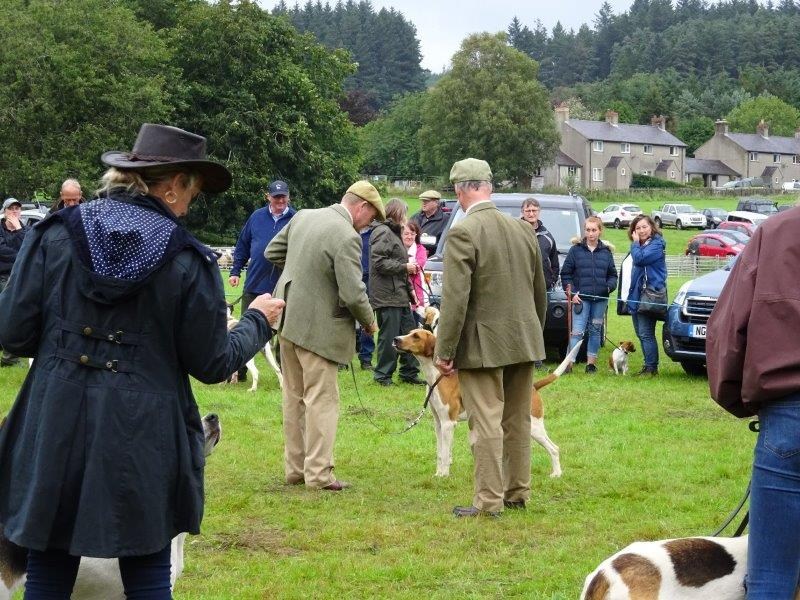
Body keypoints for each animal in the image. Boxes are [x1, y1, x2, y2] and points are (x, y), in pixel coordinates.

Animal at [393, 328, 580, 478]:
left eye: (416, 336)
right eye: (409, 332)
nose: (396, 339)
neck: (437, 376)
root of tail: (533, 387)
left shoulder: (448, 423)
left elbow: (445, 453)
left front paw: (444, 475)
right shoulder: (438, 423)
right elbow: (440, 453)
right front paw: (439, 473)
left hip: (534, 427)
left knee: (554, 448)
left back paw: (557, 473)